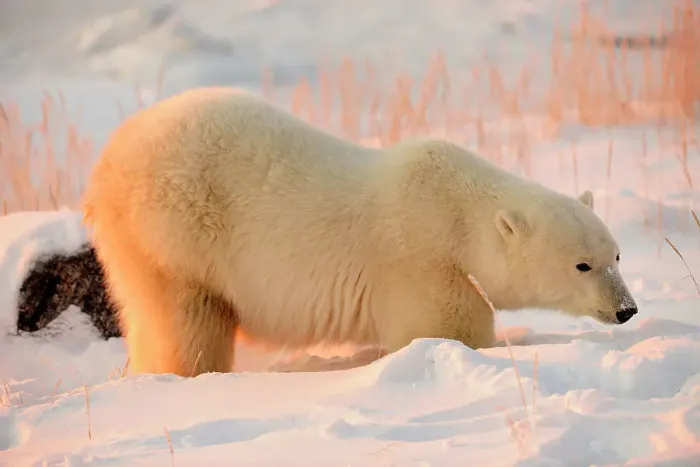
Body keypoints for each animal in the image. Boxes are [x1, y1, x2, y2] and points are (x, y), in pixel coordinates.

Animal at [81, 87, 638, 377]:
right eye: (581, 264)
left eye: (616, 256)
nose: (627, 310)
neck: (456, 209)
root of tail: (108, 158)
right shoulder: (419, 261)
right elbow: (446, 329)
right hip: (173, 234)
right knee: (187, 320)